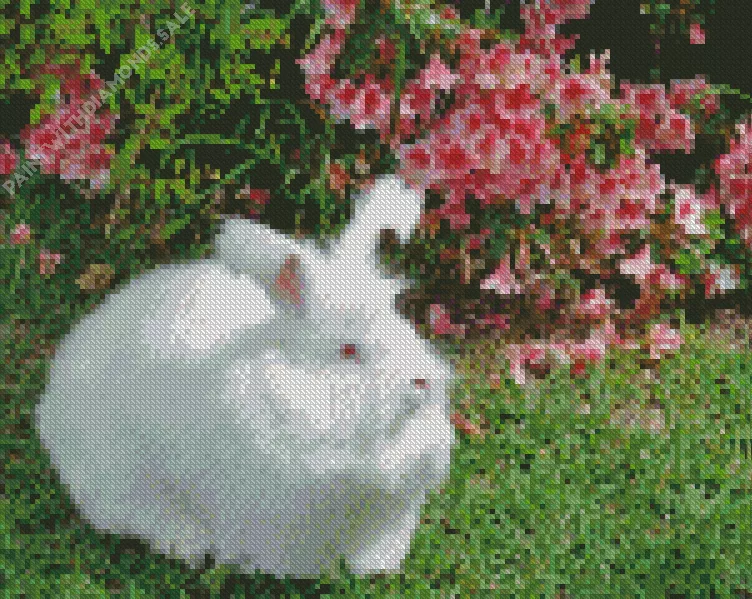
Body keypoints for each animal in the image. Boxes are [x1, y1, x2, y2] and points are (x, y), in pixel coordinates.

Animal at [35, 174, 457, 578]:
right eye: (348, 350)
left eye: (401, 325)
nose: (423, 380)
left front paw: (374, 568)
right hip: (119, 478)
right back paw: (186, 543)